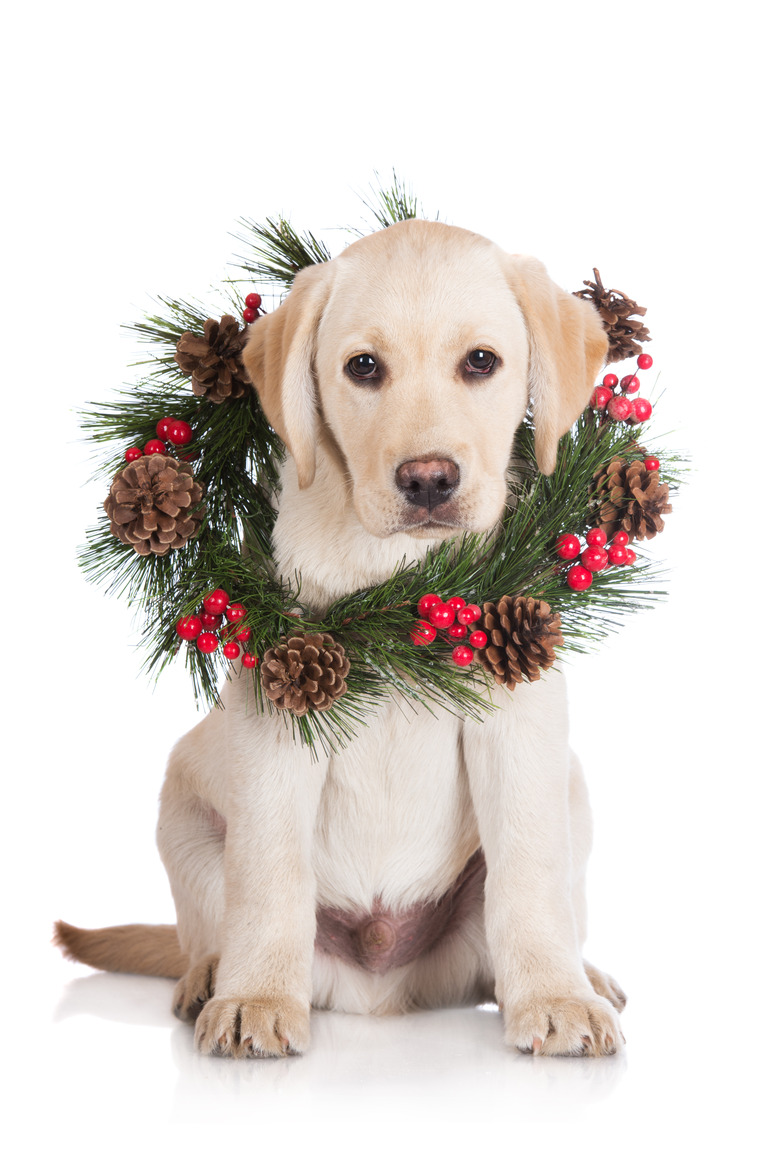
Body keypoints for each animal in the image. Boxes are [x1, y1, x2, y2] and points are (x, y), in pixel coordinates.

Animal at [56, 217, 625, 1060]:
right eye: (363, 368)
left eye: (481, 362)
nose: (428, 481)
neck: (403, 582)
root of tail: (381, 986)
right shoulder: (276, 721)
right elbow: (271, 876)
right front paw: (257, 998)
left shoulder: (520, 726)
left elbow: (529, 871)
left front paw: (555, 997)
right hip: (183, 814)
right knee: (210, 925)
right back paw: (211, 980)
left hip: (573, 790)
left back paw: (583, 976)